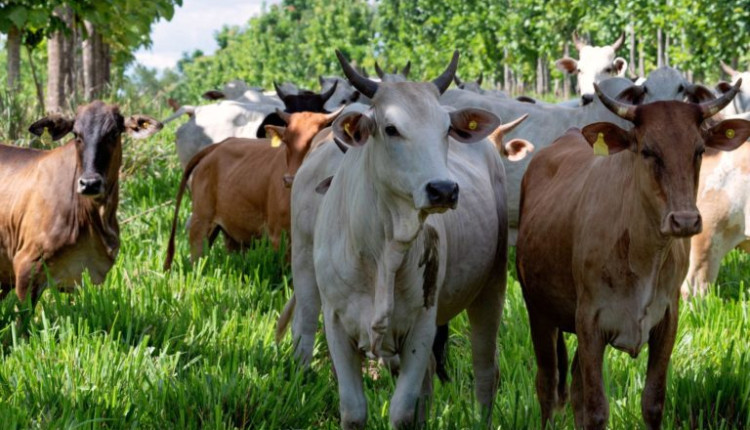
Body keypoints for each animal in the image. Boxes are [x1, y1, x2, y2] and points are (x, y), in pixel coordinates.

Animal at [164, 107, 344, 268]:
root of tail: (219, 145)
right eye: (286, 140)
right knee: (197, 253)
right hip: (201, 219)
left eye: (315, 141)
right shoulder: (278, 234)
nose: (289, 179)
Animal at [516, 81, 750, 430]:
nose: (685, 221)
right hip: (539, 312)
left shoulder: (667, 321)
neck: (643, 256)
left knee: (575, 388)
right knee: (547, 386)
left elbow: (651, 403)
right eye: (648, 151)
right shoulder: (589, 322)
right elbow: (596, 410)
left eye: (699, 150)